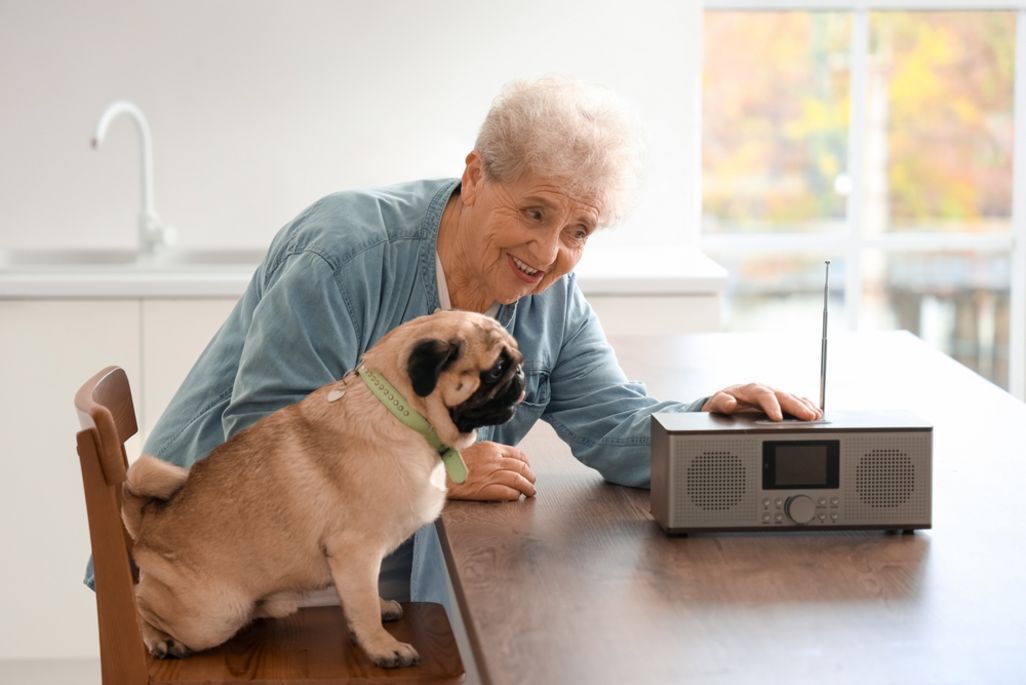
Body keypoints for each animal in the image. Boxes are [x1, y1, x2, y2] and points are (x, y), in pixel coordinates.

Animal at [120, 309, 525, 664]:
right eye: (496, 370)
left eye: (516, 361)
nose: (521, 375)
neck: (402, 412)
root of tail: (148, 520)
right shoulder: (357, 550)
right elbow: (363, 605)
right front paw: (383, 647)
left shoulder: (357, 565)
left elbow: (363, 599)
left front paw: (376, 615)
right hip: (215, 615)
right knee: (139, 603)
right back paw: (159, 640)